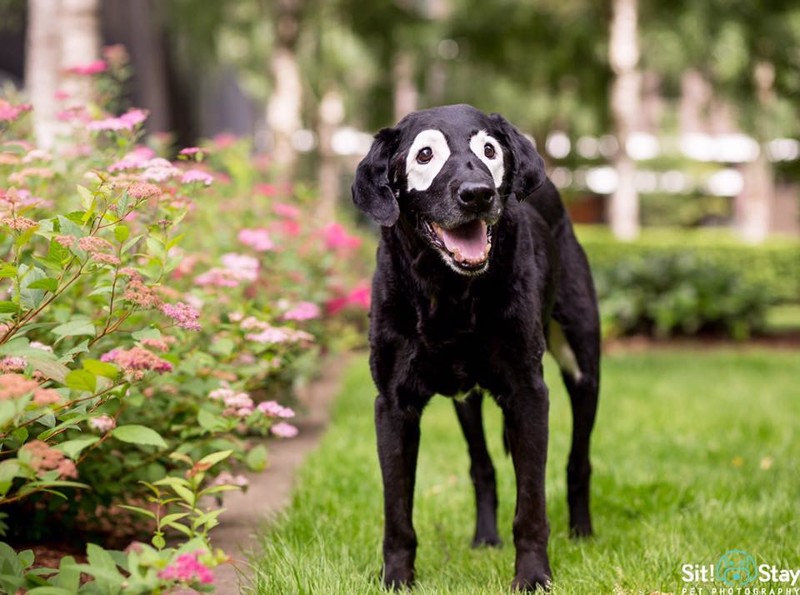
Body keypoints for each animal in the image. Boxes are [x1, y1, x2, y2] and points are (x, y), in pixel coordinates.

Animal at [352, 103, 600, 592]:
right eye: (425, 154)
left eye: (489, 150)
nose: (478, 194)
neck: (448, 292)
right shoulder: (391, 405)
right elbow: (397, 512)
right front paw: (396, 578)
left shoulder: (528, 393)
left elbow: (531, 506)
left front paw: (533, 577)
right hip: (465, 401)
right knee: (481, 467)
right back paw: (485, 538)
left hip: (584, 366)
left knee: (578, 461)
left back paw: (581, 533)